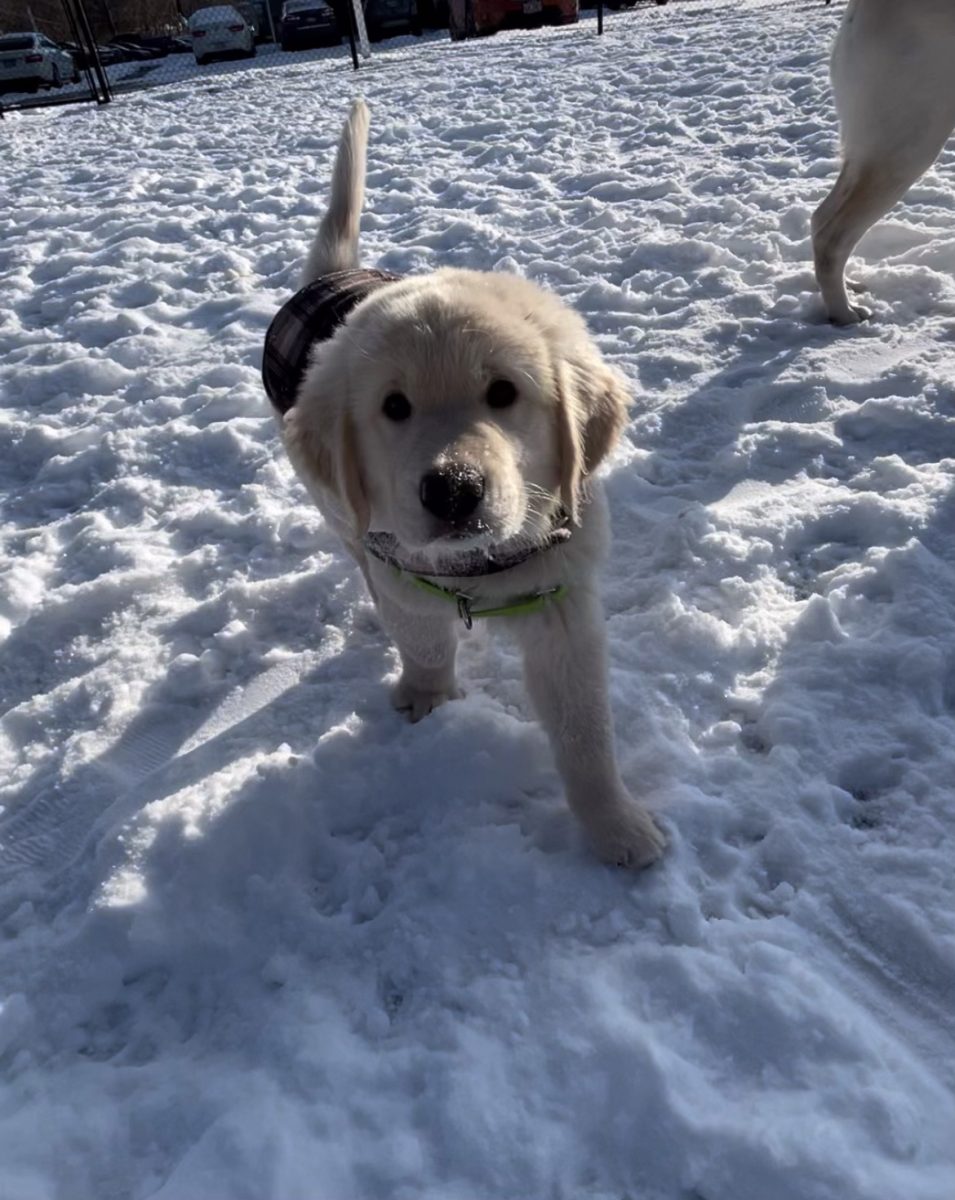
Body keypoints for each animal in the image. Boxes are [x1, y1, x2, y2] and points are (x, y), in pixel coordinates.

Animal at [261, 103, 662, 868]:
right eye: (394, 407)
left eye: (503, 392)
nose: (452, 490)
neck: (480, 569)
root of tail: (335, 274)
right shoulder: (404, 574)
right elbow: (421, 640)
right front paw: (427, 697)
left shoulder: (563, 603)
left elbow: (584, 730)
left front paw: (616, 827)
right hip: (332, 501)